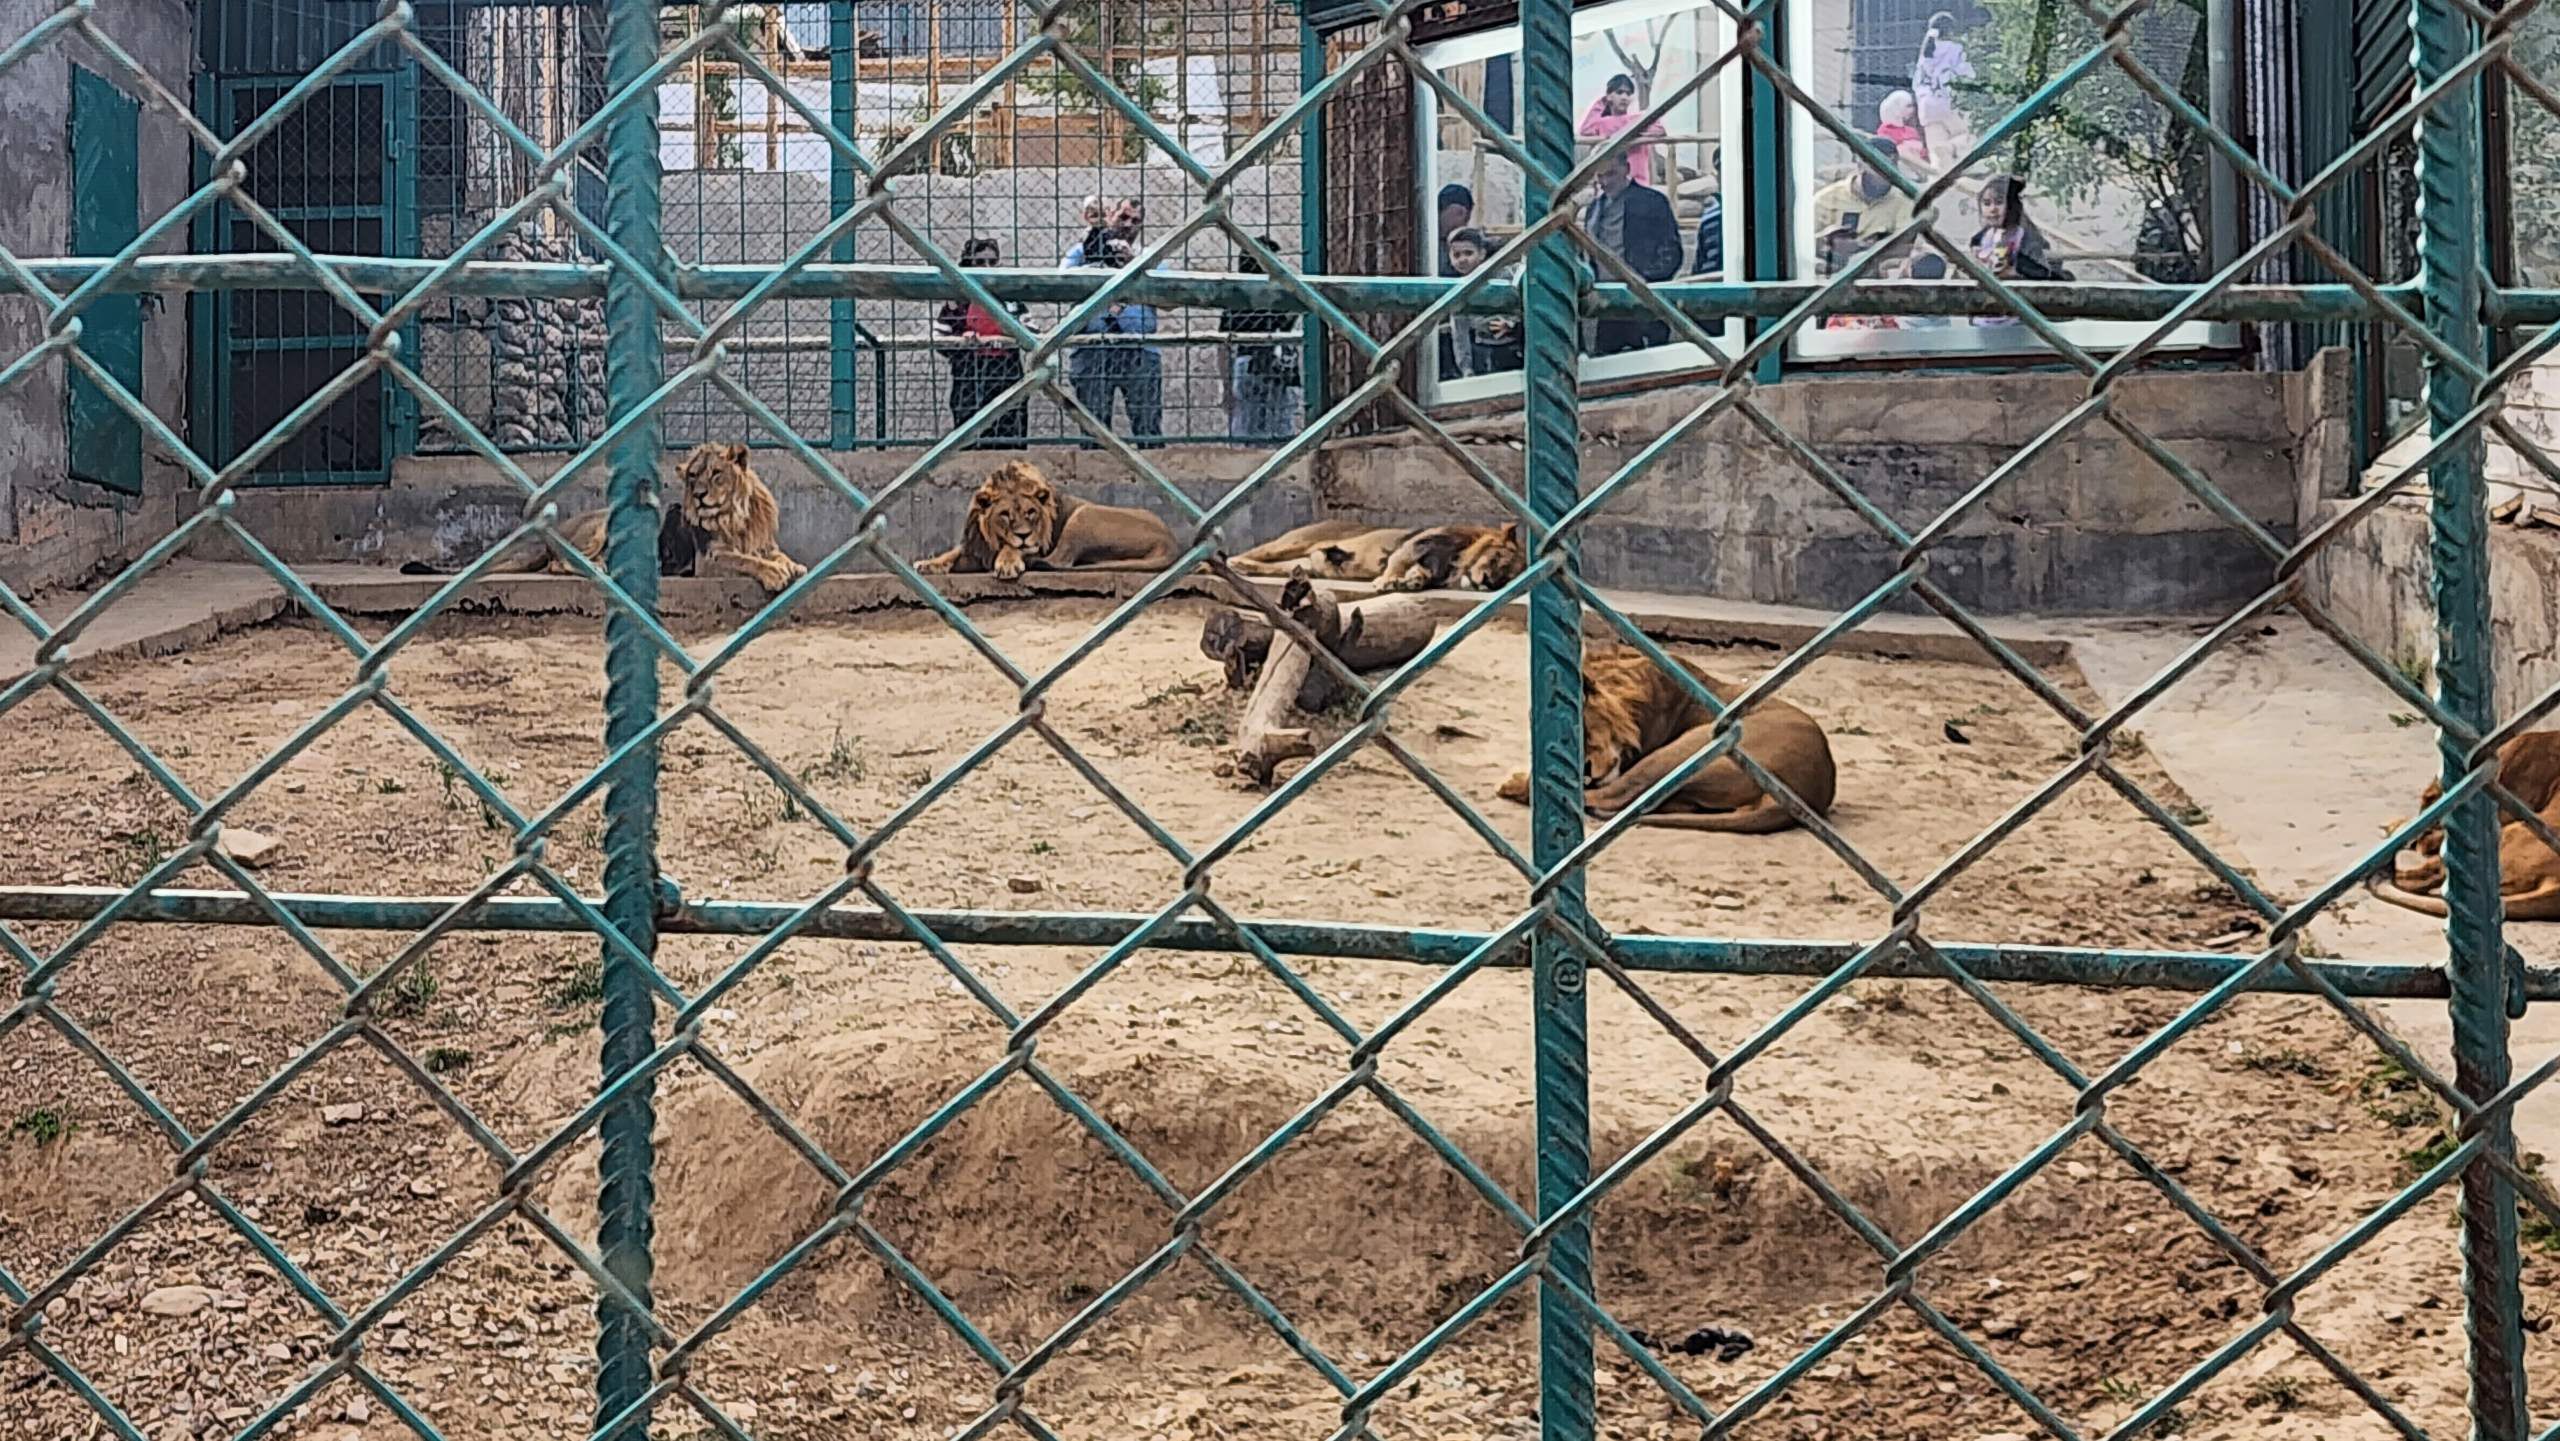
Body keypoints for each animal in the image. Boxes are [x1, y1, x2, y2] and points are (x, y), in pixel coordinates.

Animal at [399, 440, 803, 598]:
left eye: (717, 474)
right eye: (693, 476)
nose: (701, 495)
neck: (735, 516)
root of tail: (552, 532)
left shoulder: (762, 543)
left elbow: (773, 554)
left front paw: (792, 567)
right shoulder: (708, 561)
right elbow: (744, 559)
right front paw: (774, 574)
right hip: (602, 527)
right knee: (561, 565)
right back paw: (601, 569)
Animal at [921, 455, 1177, 581]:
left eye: (1031, 513)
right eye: (1005, 515)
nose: (1024, 535)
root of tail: (1171, 541)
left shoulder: (1036, 543)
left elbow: (1014, 549)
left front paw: (1008, 563)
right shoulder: (975, 548)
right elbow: (953, 553)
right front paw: (928, 564)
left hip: (1083, 514)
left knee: (1061, 561)